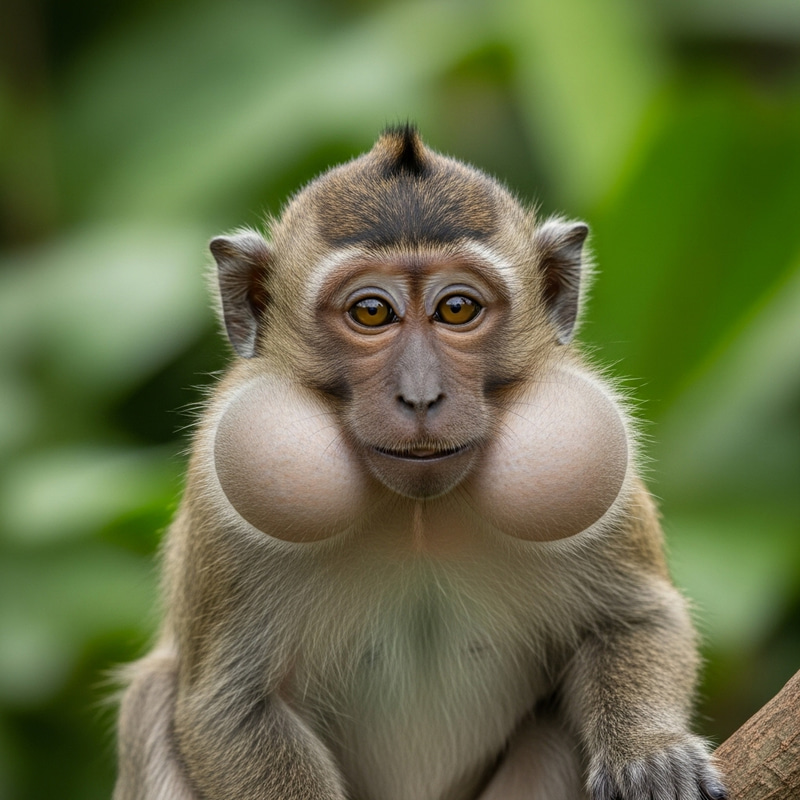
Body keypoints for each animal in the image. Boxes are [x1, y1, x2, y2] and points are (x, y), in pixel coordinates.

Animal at [114, 125, 728, 800]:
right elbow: (227, 708)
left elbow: (637, 619)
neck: (418, 514)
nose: (421, 395)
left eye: (457, 309)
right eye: (371, 312)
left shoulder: (608, 495)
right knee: (152, 696)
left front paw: (648, 752)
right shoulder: (220, 508)